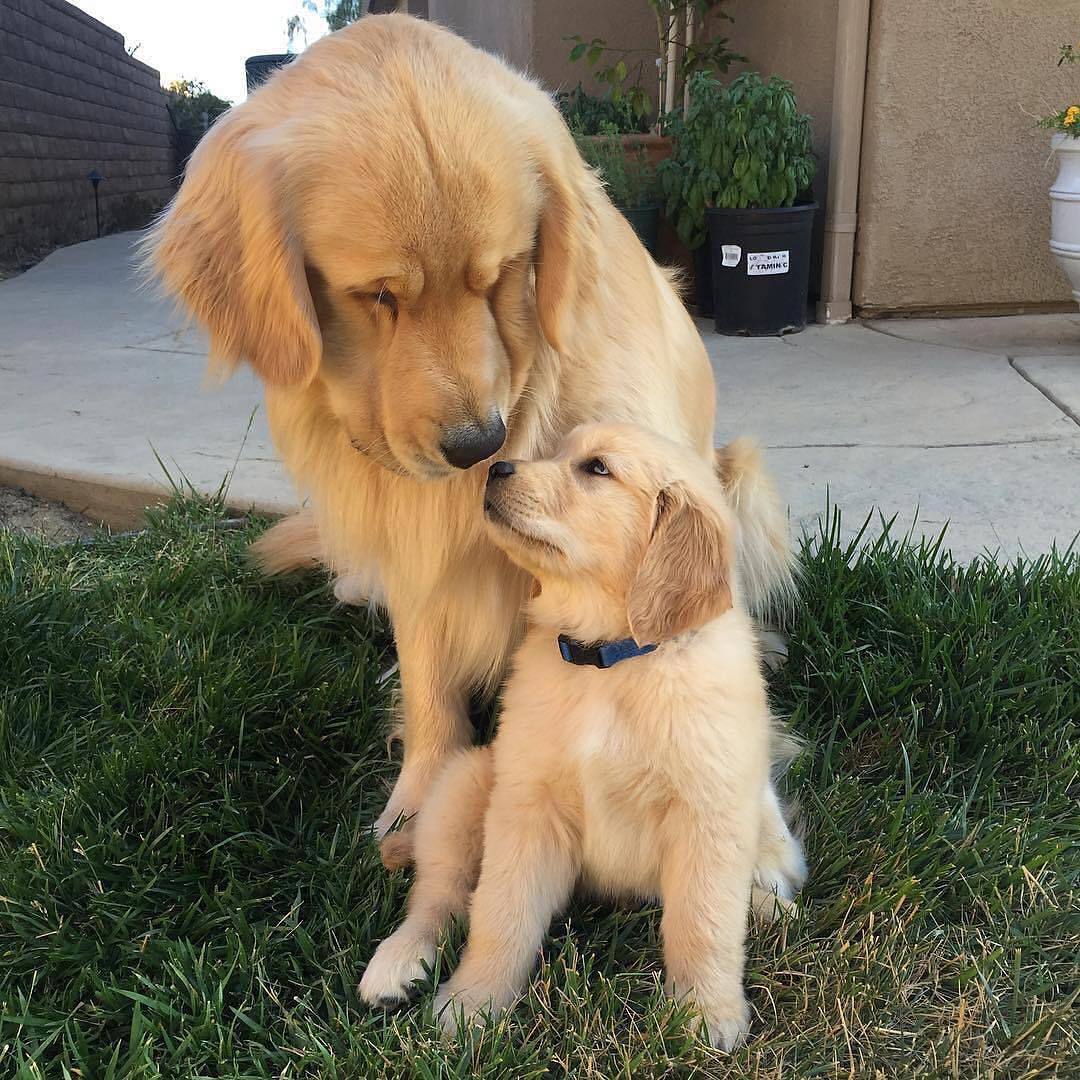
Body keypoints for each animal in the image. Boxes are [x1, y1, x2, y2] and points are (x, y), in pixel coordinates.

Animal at [143, 12, 790, 846]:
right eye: (377, 295)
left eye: (504, 273)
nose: (477, 447)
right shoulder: (413, 543)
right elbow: (429, 674)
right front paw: (422, 798)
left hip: (741, 474)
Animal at [358, 425, 807, 1049]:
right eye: (556, 453)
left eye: (596, 469)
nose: (495, 469)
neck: (610, 662)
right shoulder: (528, 806)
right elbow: (500, 915)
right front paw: (473, 1005)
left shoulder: (707, 813)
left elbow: (704, 921)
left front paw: (706, 1012)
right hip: (468, 782)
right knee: (439, 894)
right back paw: (398, 964)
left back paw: (768, 908)